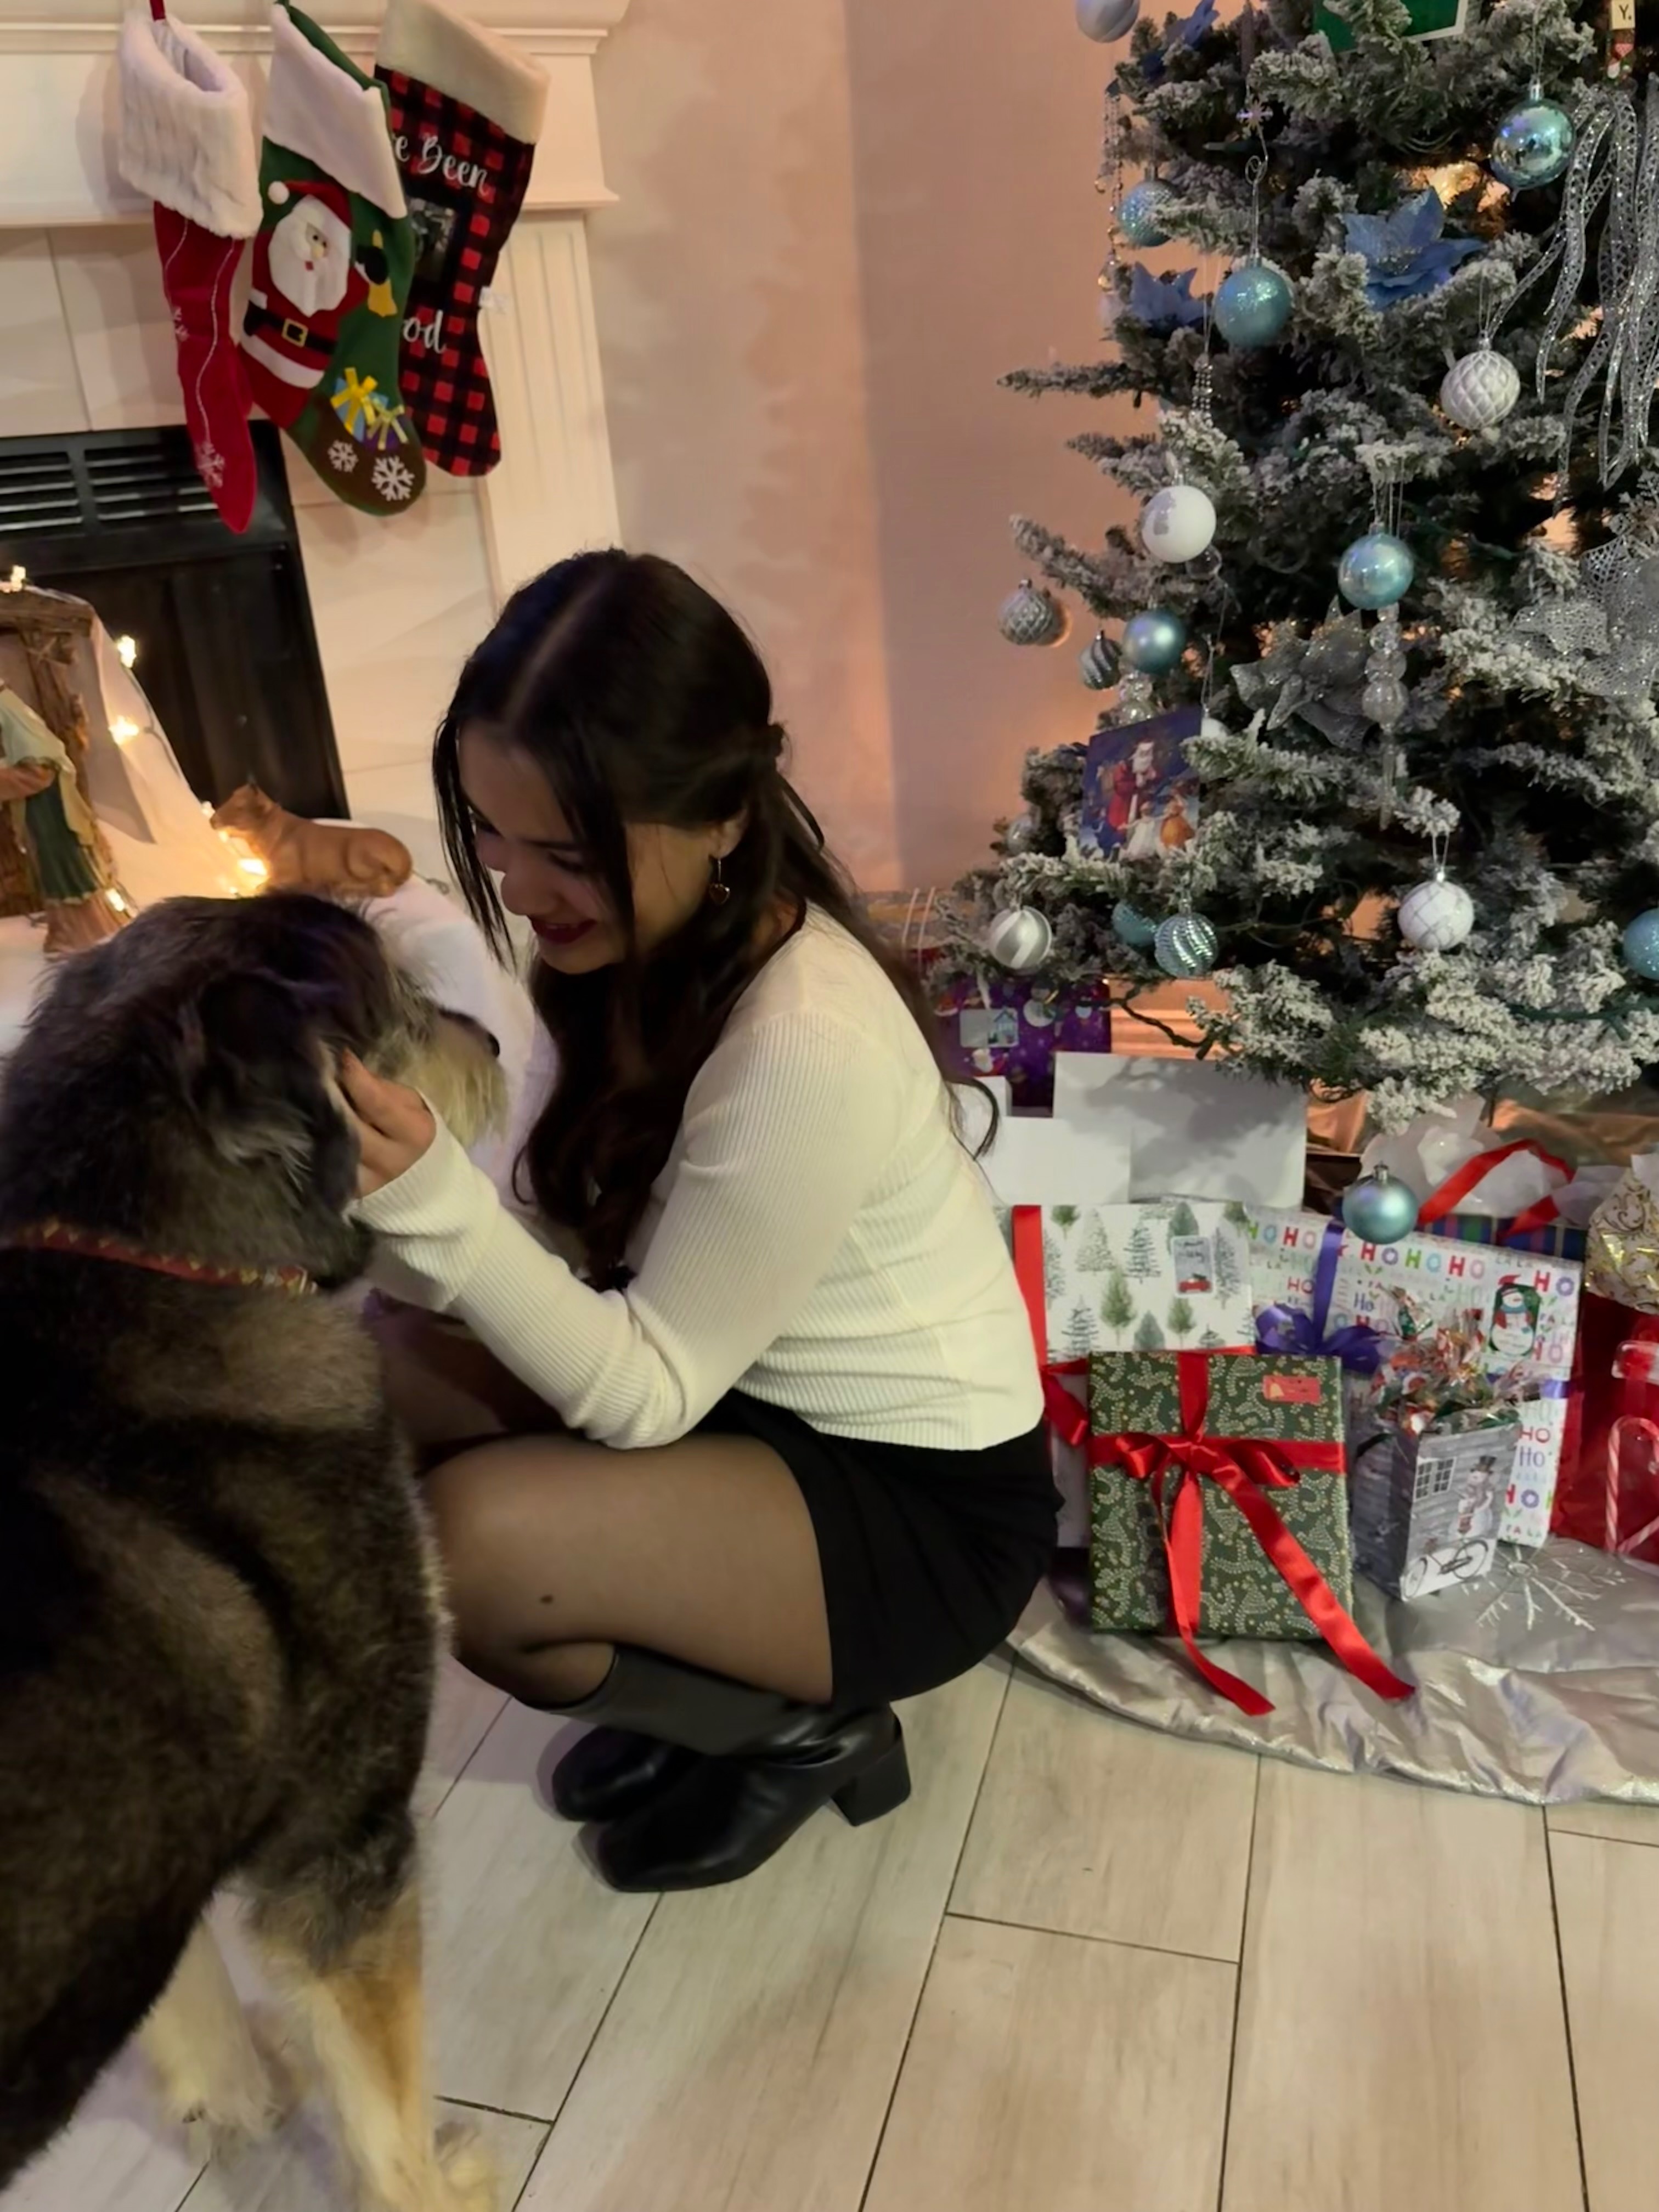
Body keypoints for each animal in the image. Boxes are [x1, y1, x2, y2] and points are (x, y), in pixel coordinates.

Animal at [0, 892, 506, 2209]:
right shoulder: (342, 1845)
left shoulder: (154, 1847)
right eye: (400, 1006)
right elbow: (387, 2123)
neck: (149, 1261)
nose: (493, 1041)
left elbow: (196, 2006)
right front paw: (442, 2182)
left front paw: (236, 2095)